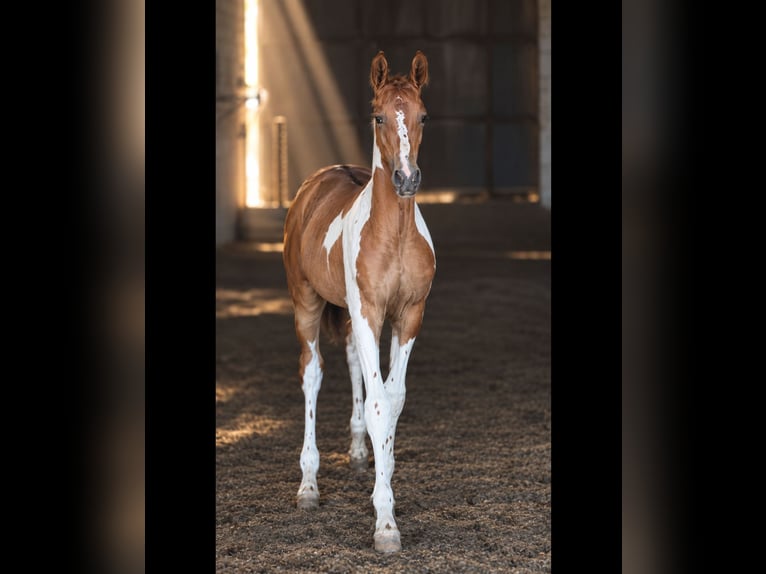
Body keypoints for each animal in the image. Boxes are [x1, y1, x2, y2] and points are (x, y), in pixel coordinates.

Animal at [282, 50, 435, 553]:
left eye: (422, 116)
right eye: (378, 115)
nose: (406, 180)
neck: (396, 233)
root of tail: (321, 177)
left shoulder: (408, 315)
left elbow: (391, 397)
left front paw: (382, 475)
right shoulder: (368, 311)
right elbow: (378, 404)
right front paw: (385, 523)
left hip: (348, 314)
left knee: (350, 361)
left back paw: (357, 452)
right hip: (306, 302)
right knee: (312, 373)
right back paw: (308, 485)